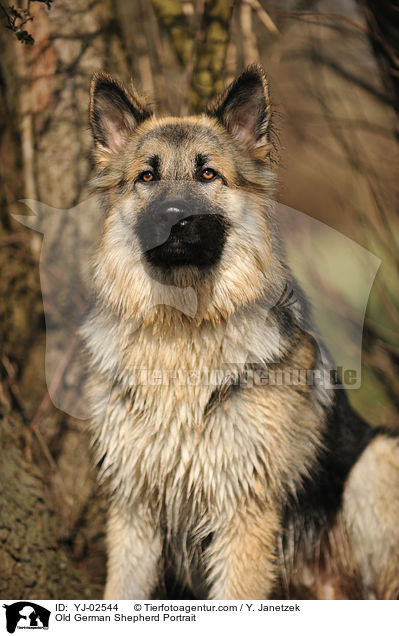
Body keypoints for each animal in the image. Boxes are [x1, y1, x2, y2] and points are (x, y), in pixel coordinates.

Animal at [83, 66, 399, 600]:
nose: (173, 220)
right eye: (147, 176)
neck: (183, 329)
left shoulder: (243, 517)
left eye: (208, 174)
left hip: (377, 460)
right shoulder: (134, 512)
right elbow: (121, 594)